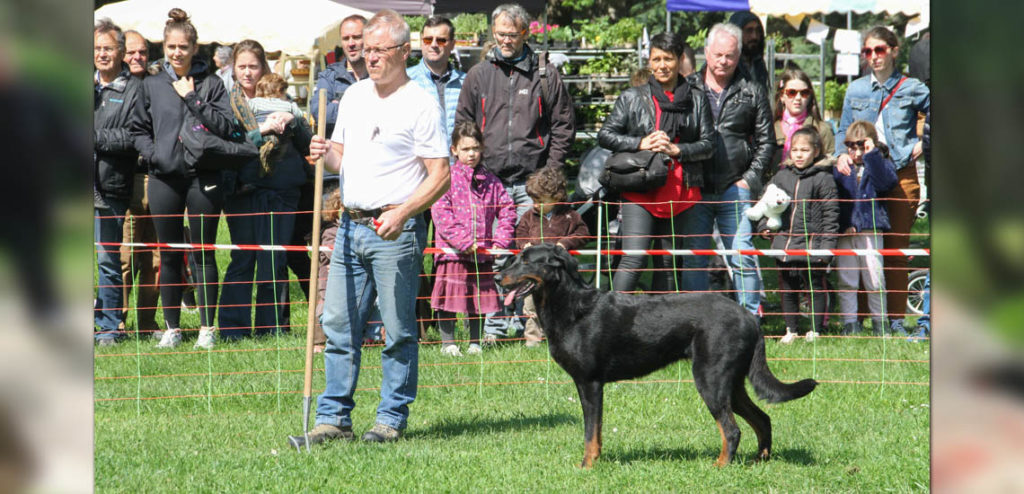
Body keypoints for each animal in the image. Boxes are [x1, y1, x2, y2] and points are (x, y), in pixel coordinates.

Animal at [493, 244, 815, 469]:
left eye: (527, 260)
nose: (496, 277)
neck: (570, 307)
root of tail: (749, 318)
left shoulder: (590, 383)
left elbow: (590, 434)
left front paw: (586, 467)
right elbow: (596, 433)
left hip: (710, 380)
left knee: (732, 429)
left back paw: (720, 466)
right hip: (731, 384)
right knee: (762, 419)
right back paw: (759, 461)